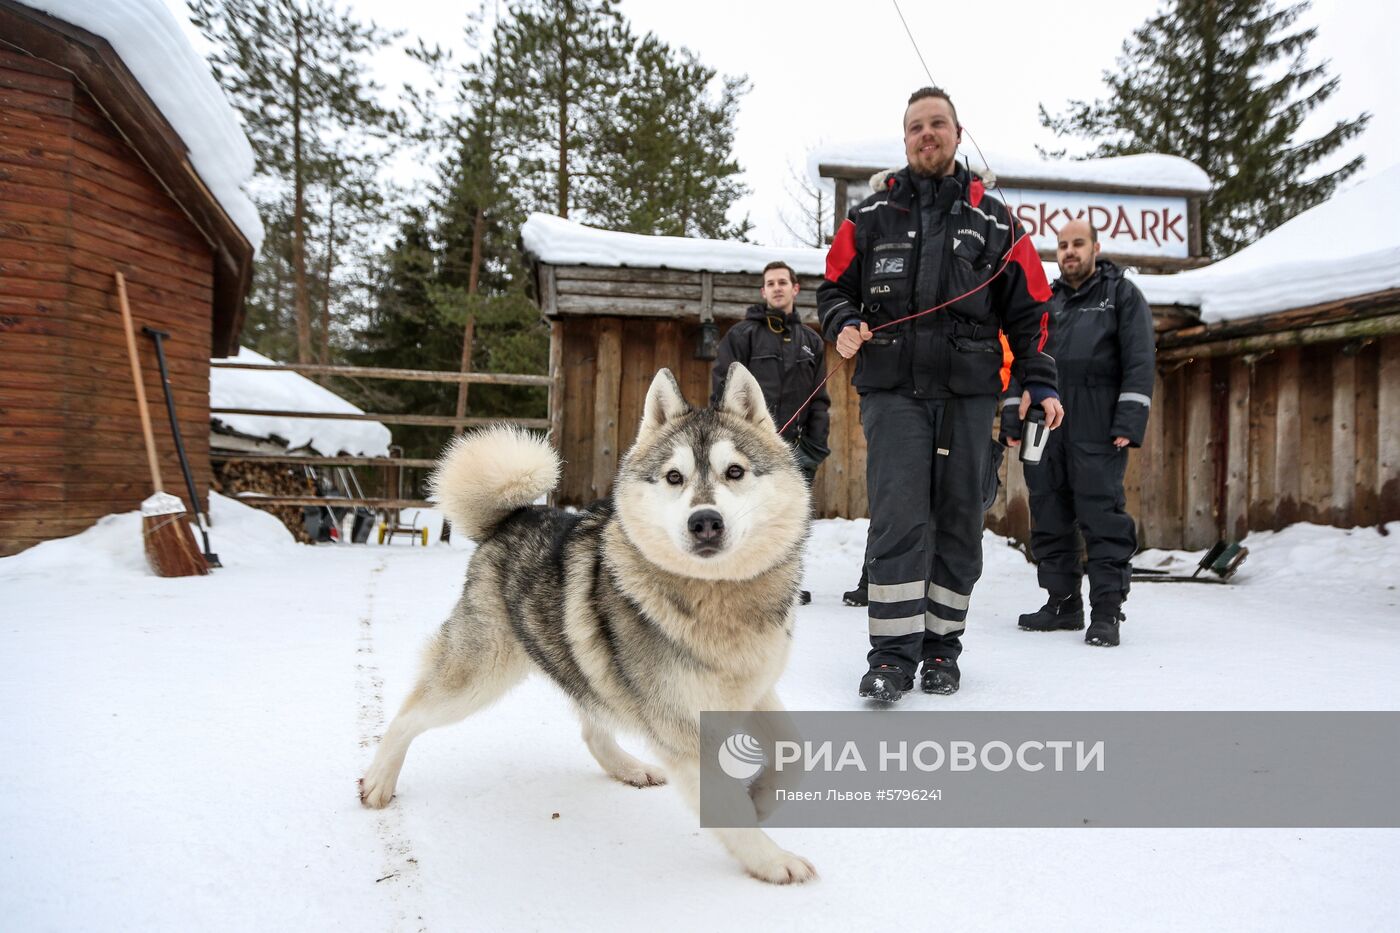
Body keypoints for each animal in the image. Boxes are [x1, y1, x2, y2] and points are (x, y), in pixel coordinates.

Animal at [361, 361, 817, 879]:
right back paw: (378, 780)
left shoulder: (754, 688)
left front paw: (760, 799)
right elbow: (727, 806)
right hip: (479, 676)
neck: (718, 598)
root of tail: (512, 518)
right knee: (408, 715)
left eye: (735, 471)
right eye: (674, 477)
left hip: (588, 666)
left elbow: (796, 752)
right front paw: (773, 860)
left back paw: (628, 767)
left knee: (592, 727)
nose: (705, 522)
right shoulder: (681, 728)